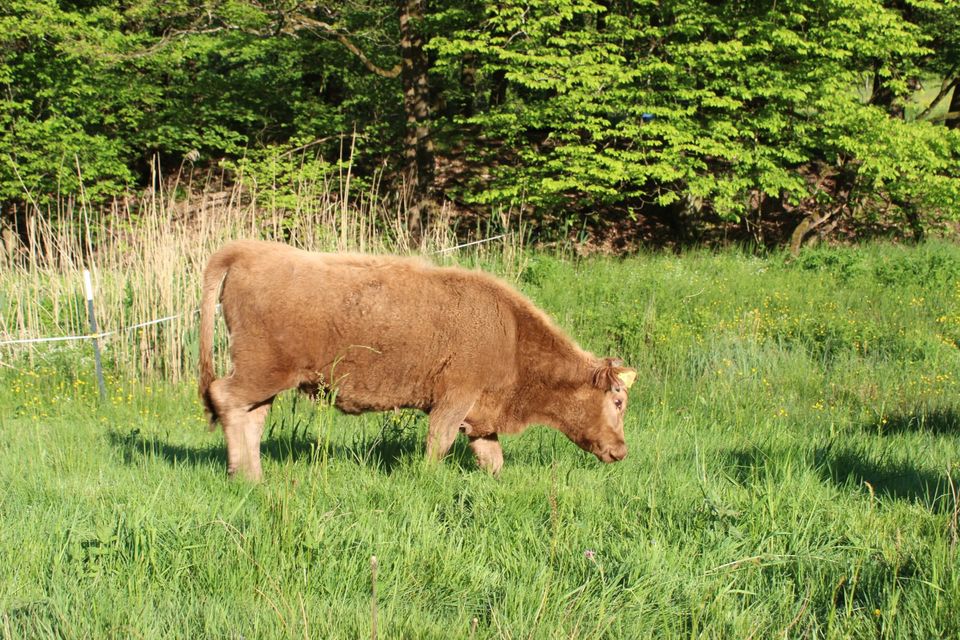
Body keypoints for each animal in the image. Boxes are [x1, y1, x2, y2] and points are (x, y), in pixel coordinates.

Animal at [198, 240, 632, 480]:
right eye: (617, 401)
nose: (622, 451)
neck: (511, 333)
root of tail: (248, 250)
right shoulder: (454, 399)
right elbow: (437, 445)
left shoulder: (481, 416)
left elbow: (492, 460)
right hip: (262, 370)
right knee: (226, 398)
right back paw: (240, 474)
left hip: (266, 378)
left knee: (251, 416)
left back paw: (254, 475)